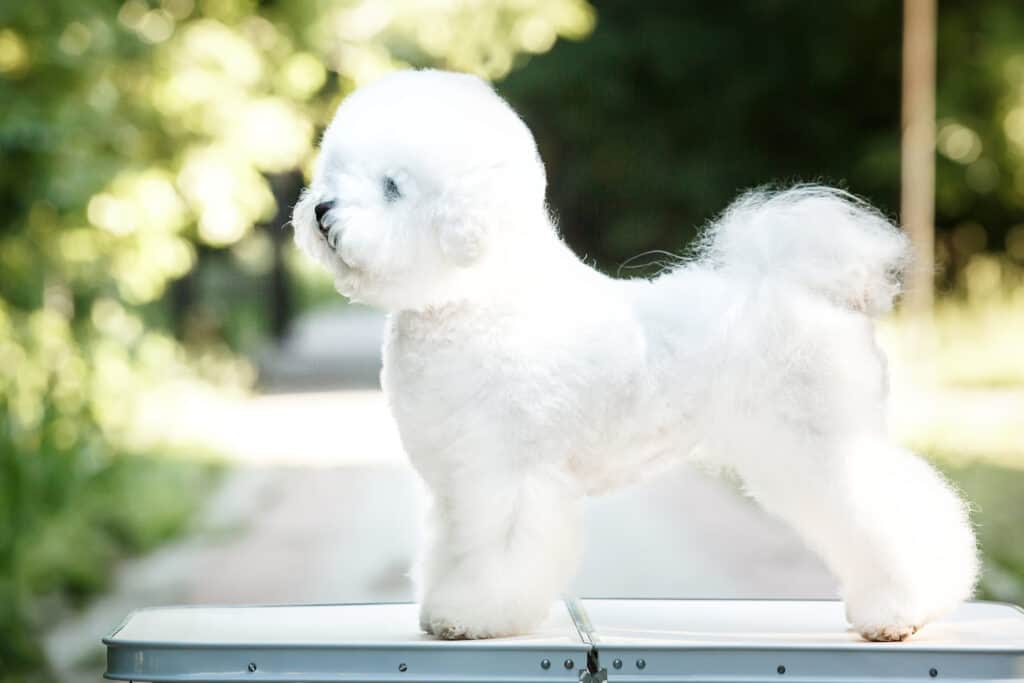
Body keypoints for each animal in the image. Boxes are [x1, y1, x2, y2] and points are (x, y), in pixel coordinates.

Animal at [292, 68, 978, 643]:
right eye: (338, 171)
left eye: (392, 187)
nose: (321, 209)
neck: (478, 297)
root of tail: (805, 288)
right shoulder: (461, 479)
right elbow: (453, 547)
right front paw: (443, 608)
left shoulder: (509, 473)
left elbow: (497, 553)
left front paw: (475, 616)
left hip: (821, 440)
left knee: (892, 509)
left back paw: (900, 612)